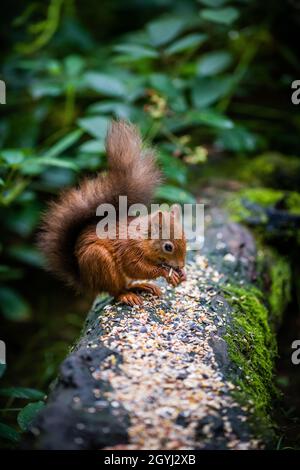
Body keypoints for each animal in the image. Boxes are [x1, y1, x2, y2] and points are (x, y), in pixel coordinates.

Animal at [38, 119, 185, 306]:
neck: (142, 238)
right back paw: (127, 295)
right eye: (168, 247)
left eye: (186, 239)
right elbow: (137, 267)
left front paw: (181, 275)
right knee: (115, 291)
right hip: (100, 262)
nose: (181, 266)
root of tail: (86, 281)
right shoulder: (129, 249)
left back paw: (142, 286)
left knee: (126, 285)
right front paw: (166, 273)